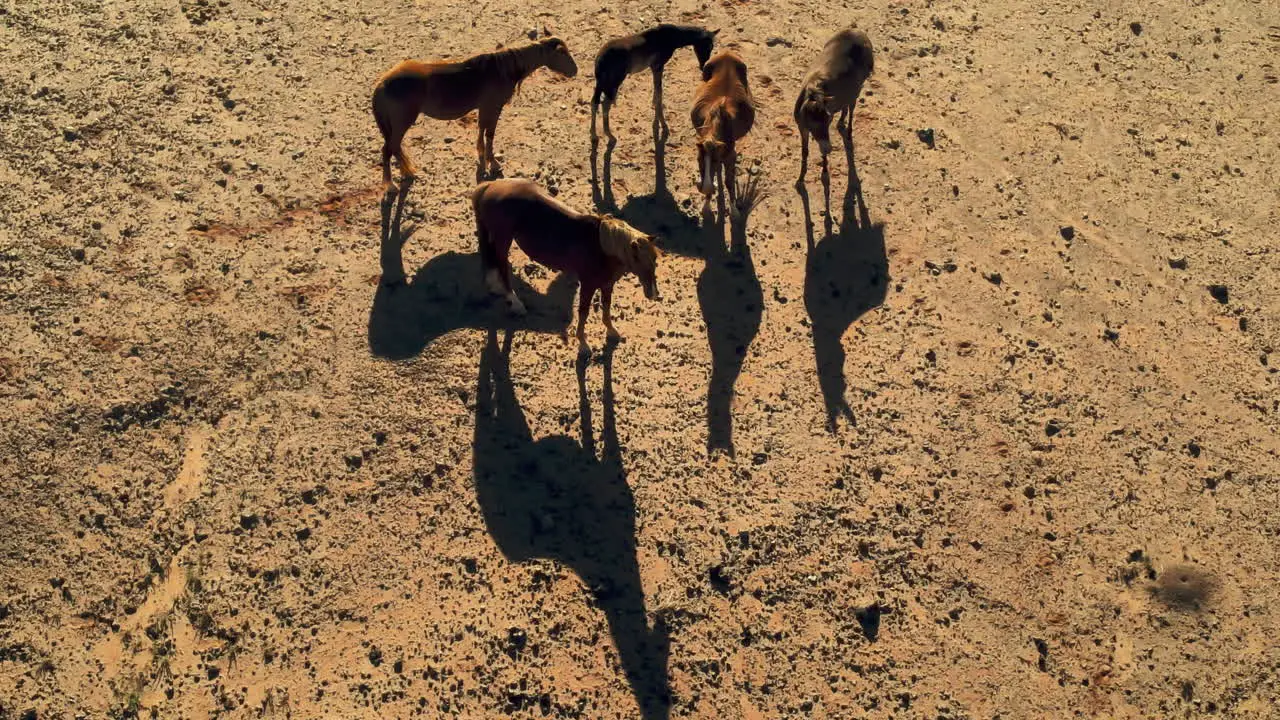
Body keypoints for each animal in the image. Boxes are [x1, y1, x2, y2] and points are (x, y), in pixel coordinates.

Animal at [368, 36, 573, 193]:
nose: (575, 70)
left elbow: (482, 130)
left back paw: (406, 172)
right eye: (562, 53)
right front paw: (493, 162)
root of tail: (383, 83)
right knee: (388, 149)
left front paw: (482, 155)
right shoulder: (493, 107)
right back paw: (390, 186)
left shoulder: (484, 108)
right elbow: (490, 133)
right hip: (402, 122)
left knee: (395, 148)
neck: (502, 69)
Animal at [476, 175, 665, 351]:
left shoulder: (607, 285)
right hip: (503, 239)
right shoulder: (588, 285)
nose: (654, 294)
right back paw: (515, 303)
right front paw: (583, 344)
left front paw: (611, 331)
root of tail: (490, 185)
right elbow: (584, 312)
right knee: (502, 267)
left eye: (655, 260)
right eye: (638, 259)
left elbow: (606, 307)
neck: (602, 248)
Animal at [591, 24, 721, 141]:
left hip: (601, 83)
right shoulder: (657, 66)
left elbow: (656, 88)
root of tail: (600, 60)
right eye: (706, 46)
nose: (703, 65)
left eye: (712, 46)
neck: (672, 37)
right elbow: (659, 90)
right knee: (605, 104)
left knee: (595, 102)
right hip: (614, 82)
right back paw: (609, 135)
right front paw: (663, 124)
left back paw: (594, 136)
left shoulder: (654, 67)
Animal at [691, 50, 757, 215]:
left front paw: (734, 211)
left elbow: (729, 183)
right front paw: (706, 205)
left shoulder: (730, 156)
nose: (706, 187)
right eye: (699, 159)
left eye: (714, 160)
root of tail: (727, 52)